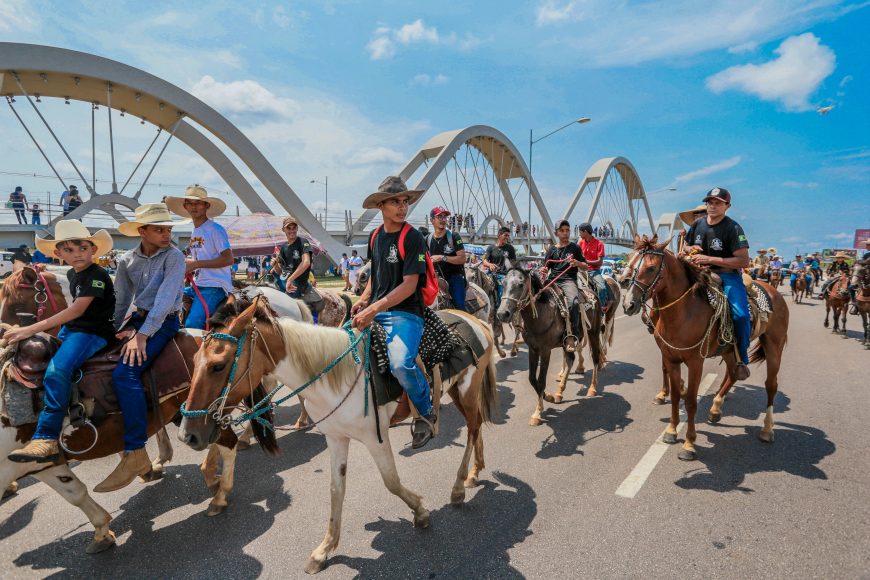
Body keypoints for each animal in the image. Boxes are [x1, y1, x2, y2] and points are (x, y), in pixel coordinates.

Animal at [177, 302, 498, 572]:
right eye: (193, 358)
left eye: (218, 365)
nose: (187, 435)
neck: (333, 376)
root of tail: (474, 320)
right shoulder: (336, 438)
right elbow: (336, 489)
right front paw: (324, 550)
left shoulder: (375, 438)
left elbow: (391, 482)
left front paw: (420, 512)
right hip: (458, 391)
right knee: (477, 427)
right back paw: (474, 473)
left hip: (467, 390)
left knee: (472, 429)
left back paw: (458, 488)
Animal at [624, 236, 792, 462]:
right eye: (630, 262)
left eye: (651, 268)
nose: (628, 304)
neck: (683, 312)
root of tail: (774, 292)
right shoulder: (670, 357)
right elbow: (676, 396)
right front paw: (671, 430)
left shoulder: (696, 362)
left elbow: (691, 401)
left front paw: (688, 444)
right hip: (729, 349)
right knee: (733, 373)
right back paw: (716, 407)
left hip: (774, 345)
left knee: (771, 385)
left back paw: (767, 429)